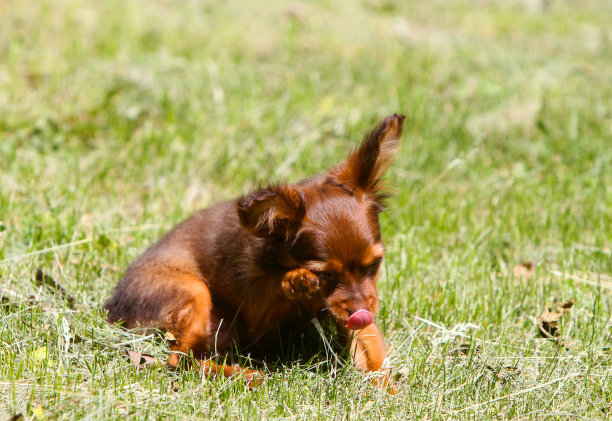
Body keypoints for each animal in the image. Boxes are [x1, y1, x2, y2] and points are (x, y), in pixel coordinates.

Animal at [104, 113, 406, 388]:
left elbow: (371, 352)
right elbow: (275, 288)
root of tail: (112, 307)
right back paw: (241, 374)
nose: (362, 312)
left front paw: (386, 390)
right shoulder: (258, 322)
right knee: (180, 359)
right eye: (325, 275)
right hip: (193, 293)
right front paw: (294, 280)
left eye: (375, 264)